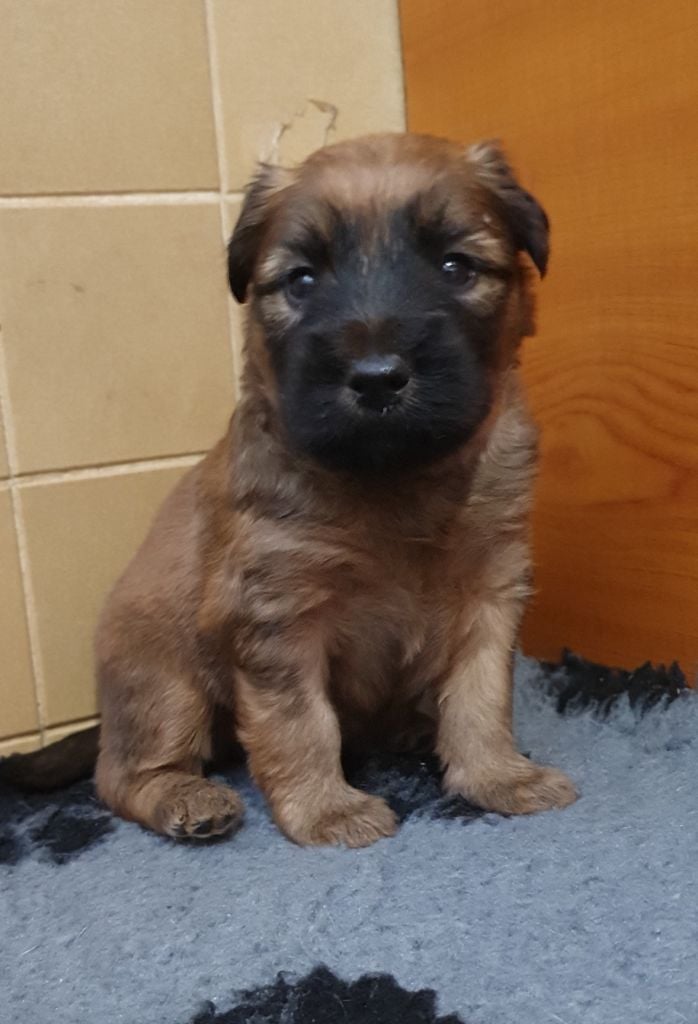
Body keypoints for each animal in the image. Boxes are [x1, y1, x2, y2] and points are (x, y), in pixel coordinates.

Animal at [2, 134, 577, 846]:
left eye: (454, 266)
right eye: (302, 280)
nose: (377, 378)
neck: (395, 482)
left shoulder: (489, 594)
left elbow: (480, 698)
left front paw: (499, 776)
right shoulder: (277, 616)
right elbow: (300, 724)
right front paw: (327, 809)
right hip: (165, 682)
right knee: (122, 774)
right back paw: (186, 797)